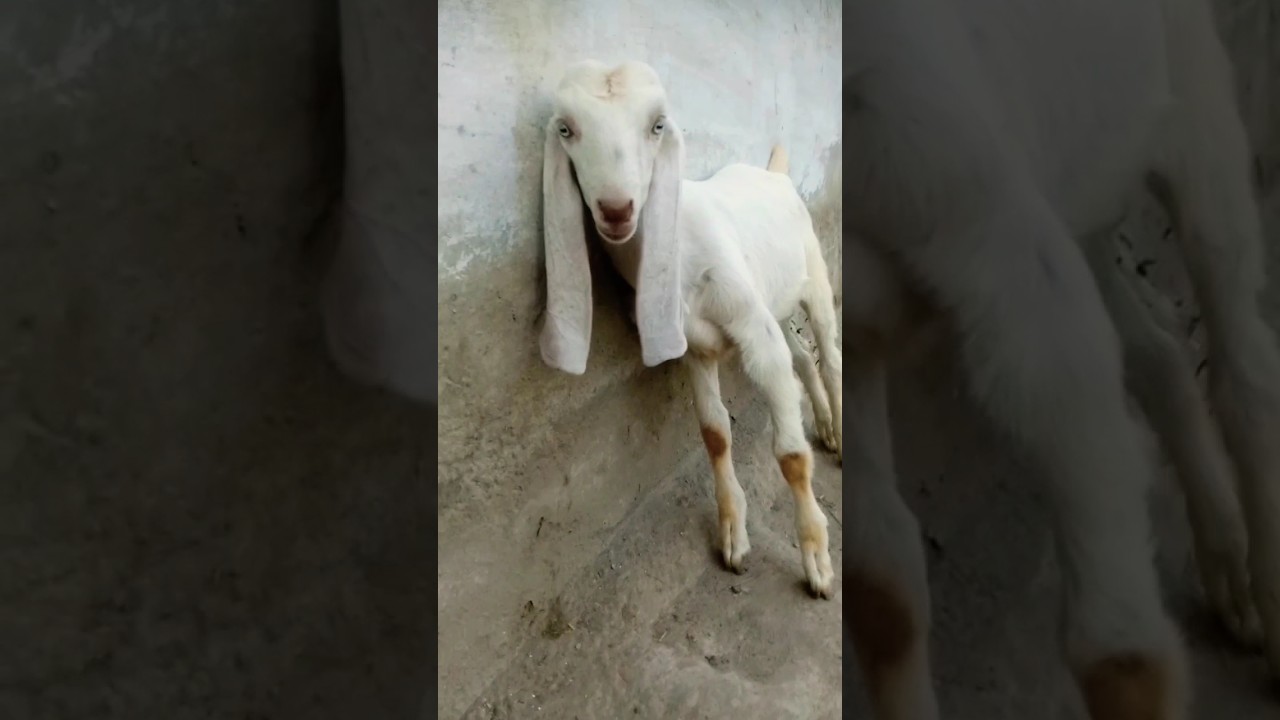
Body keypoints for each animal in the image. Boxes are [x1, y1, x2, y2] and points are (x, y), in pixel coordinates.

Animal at [538, 60, 843, 599]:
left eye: (658, 125)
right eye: (566, 130)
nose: (616, 209)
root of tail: (773, 173)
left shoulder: (750, 325)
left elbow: (790, 456)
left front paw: (817, 562)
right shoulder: (696, 347)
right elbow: (715, 434)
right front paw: (733, 537)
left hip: (813, 275)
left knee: (828, 352)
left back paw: (840, 434)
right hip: (774, 300)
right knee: (802, 357)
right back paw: (824, 425)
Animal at [845, 0, 1280, 717]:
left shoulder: (1014, 272)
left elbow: (1122, 660)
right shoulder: (843, 333)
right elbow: (881, 588)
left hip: (1195, 113)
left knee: (1244, 367)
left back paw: (1266, 598)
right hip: (1083, 189)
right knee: (1158, 346)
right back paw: (1227, 566)